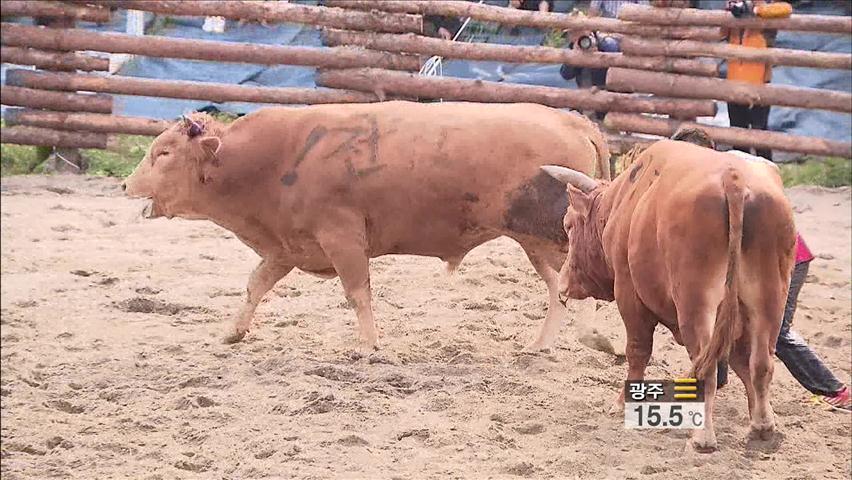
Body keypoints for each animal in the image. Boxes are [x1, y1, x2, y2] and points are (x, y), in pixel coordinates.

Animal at [123, 100, 608, 352]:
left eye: (163, 153)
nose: (126, 183)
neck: (275, 159)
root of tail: (570, 118)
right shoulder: (288, 247)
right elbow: (255, 285)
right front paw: (233, 331)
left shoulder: (342, 239)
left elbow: (357, 293)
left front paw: (369, 346)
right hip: (536, 243)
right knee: (558, 287)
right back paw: (543, 344)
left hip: (550, 235)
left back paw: (591, 337)